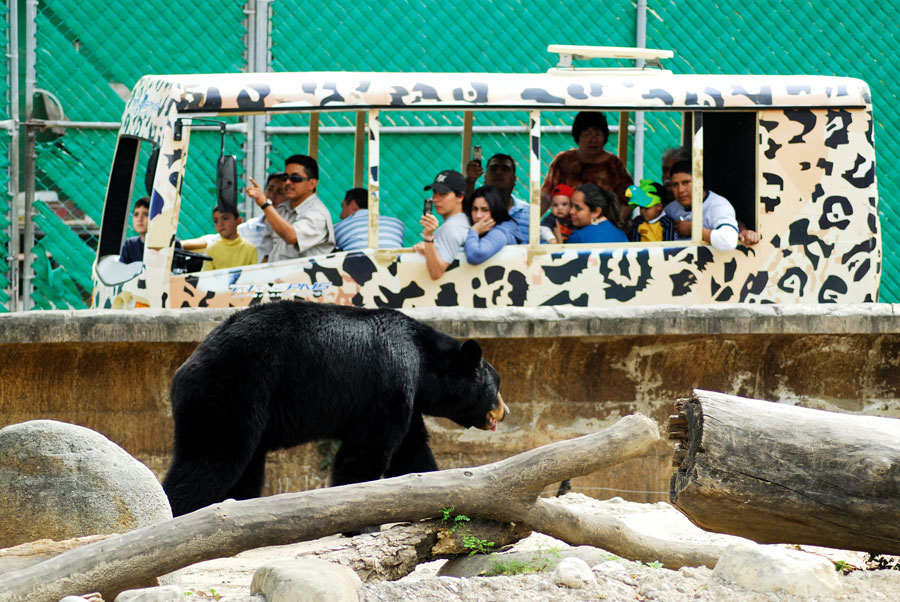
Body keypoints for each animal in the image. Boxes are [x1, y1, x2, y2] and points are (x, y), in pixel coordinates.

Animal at [160, 298, 506, 512]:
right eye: (497, 385)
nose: (505, 411)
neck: (423, 363)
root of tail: (183, 369)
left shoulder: (405, 398)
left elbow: (412, 448)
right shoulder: (389, 382)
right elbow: (368, 450)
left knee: (245, 469)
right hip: (231, 393)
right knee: (214, 457)